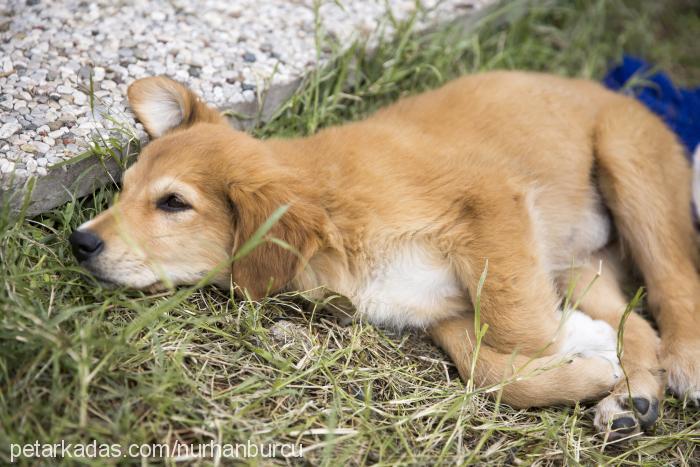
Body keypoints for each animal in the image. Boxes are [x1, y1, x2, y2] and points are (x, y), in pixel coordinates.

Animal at [69, 73, 700, 442]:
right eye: (123, 191)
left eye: (173, 203)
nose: (80, 243)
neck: (332, 214)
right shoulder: (438, 308)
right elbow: (488, 367)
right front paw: (585, 357)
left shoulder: (493, 202)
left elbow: (517, 325)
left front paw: (577, 340)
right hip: (581, 263)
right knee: (639, 324)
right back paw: (632, 398)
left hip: (629, 165)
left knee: (675, 281)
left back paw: (684, 362)